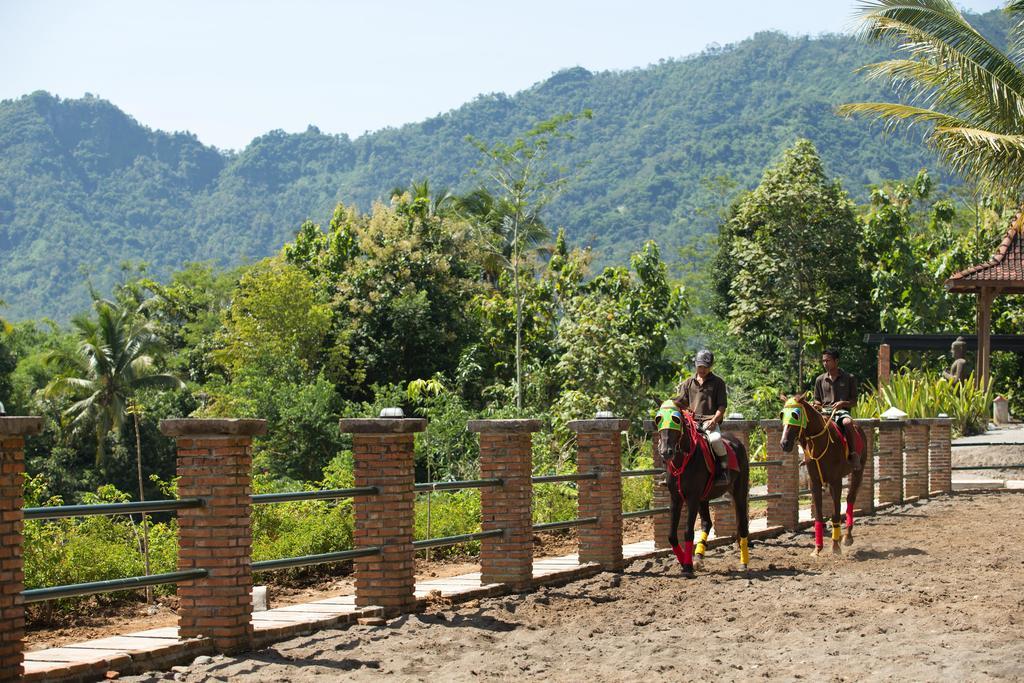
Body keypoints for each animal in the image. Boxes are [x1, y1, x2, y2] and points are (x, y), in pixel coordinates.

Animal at [655, 397, 753, 573]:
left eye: (676, 419)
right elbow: (672, 535)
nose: (666, 451)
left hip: (739, 492)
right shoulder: (676, 498)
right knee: (707, 523)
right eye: (658, 419)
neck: (684, 460)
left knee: (742, 525)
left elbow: (688, 532)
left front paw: (687, 566)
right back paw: (699, 557)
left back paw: (743, 563)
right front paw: (684, 562)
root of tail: (737, 443)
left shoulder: (692, 498)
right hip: (704, 498)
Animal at [778, 395, 868, 557]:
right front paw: (817, 548)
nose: (784, 443)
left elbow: (836, 513)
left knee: (850, 498)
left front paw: (835, 547)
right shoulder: (815, 482)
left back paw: (847, 537)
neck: (819, 442)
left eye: (795, 415)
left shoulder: (836, 481)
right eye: (782, 415)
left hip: (859, 470)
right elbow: (819, 515)